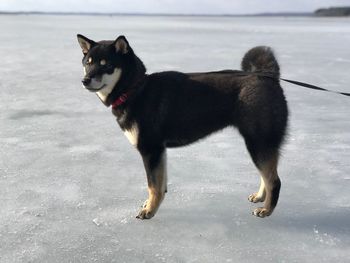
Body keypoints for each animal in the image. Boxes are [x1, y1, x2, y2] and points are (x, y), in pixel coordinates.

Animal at [76, 35, 288, 221]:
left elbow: (153, 185)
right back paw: (261, 198)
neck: (135, 90)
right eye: (88, 63)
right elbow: (160, 185)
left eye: (106, 65)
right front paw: (150, 205)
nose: (85, 80)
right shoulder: (159, 151)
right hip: (259, 143)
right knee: (266, 175)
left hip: (258, 142)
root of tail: (269, 77)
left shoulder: (150, 149)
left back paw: (267, 210)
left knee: (274, 180)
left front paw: (149, 211)